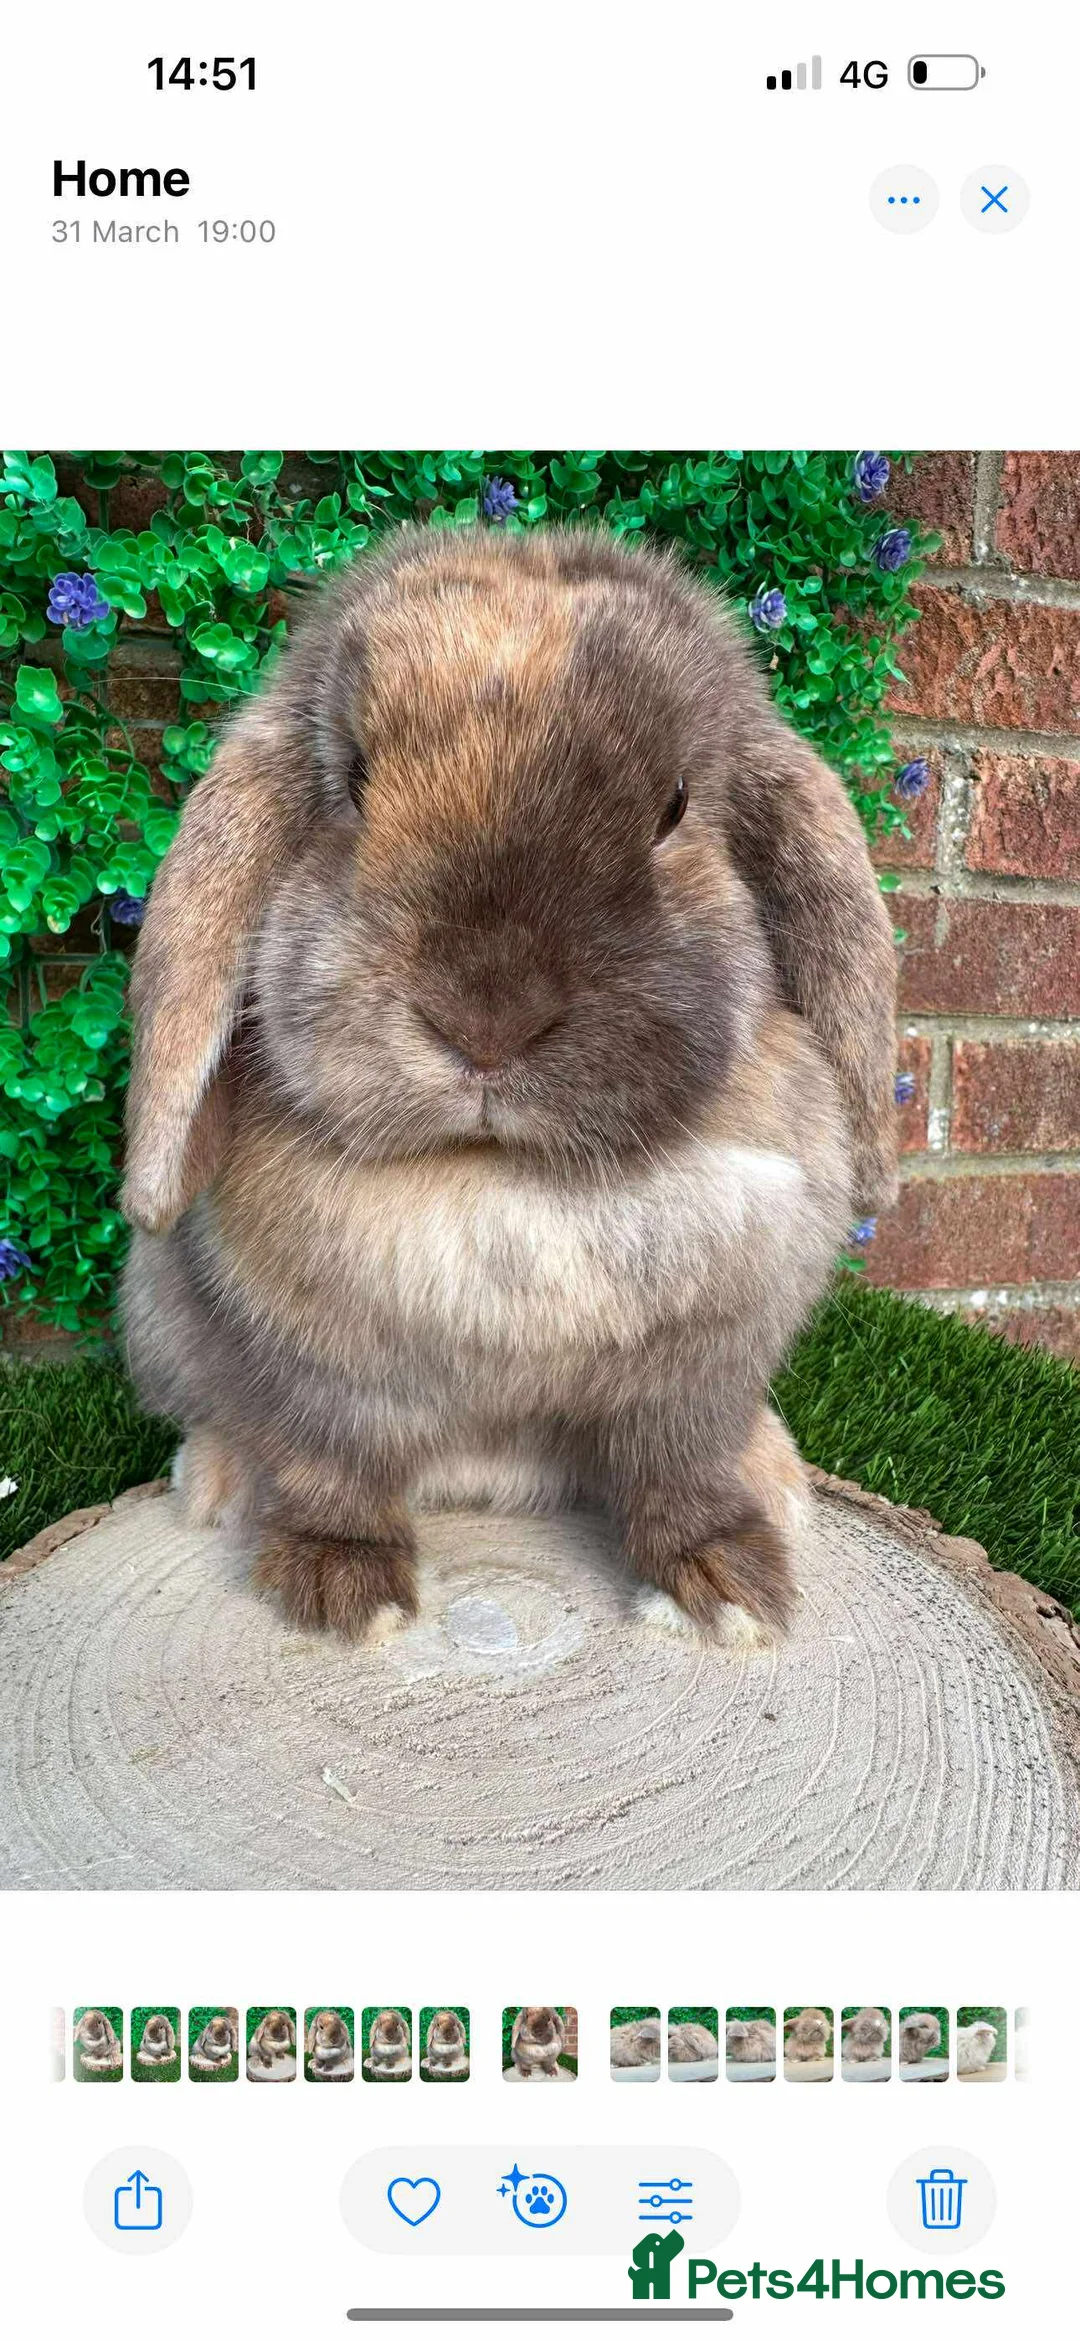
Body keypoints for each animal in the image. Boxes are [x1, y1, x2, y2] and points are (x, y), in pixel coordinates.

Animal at [122, 525, 897, 1647]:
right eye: (354, 781)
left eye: (674, 807)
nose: (485, 1021)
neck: (504, 1176)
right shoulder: (325, 1379)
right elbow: (332, 1470)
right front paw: (342, 1588)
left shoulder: (695, 1380)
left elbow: (684, 1474)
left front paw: (727, 1589)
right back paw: (215, 1478)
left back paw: (779, 1478)